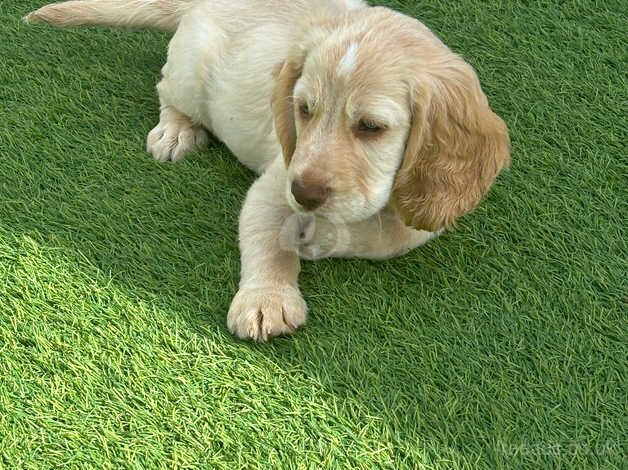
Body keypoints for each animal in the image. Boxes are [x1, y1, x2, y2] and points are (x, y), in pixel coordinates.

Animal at [24, 0, 510, 340]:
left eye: (371, 127)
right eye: (304, 110)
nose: (307, 195)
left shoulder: (422, 215)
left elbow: (389, 236)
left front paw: (321, 235)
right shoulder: (277, 182)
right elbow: (268, 239)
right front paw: (266, 300)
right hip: (188, 72)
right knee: (167, 90)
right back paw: (176, 131)